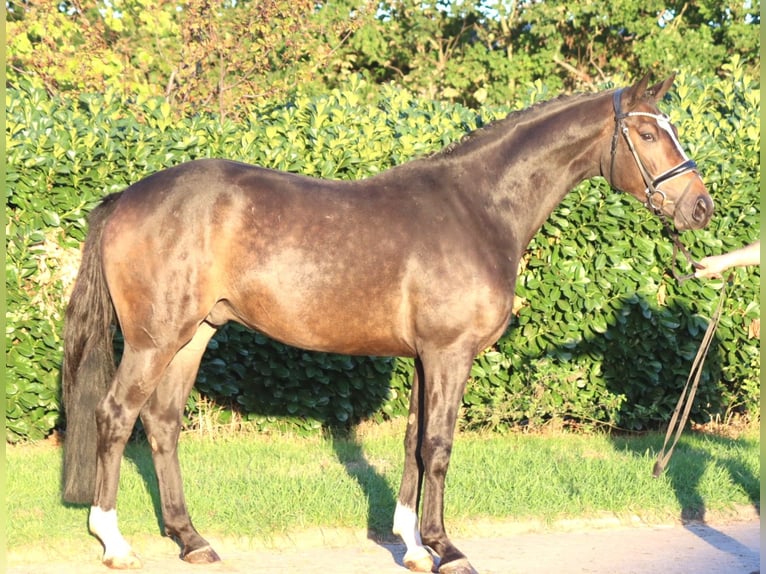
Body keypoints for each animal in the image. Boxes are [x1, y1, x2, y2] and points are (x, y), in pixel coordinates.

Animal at [61, 73, 713, 573]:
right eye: (648, 133)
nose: (701, 207)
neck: (478, 207)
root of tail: (123, 199)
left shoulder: (426, 355)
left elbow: (412, 443)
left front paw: (414, 545)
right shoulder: (450, 353)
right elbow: (438, 446)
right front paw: (448, 549)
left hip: (194, 335)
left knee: (162, 423)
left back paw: (191, 539)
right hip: (154, 340)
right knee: (115, 416)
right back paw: (114, 542)